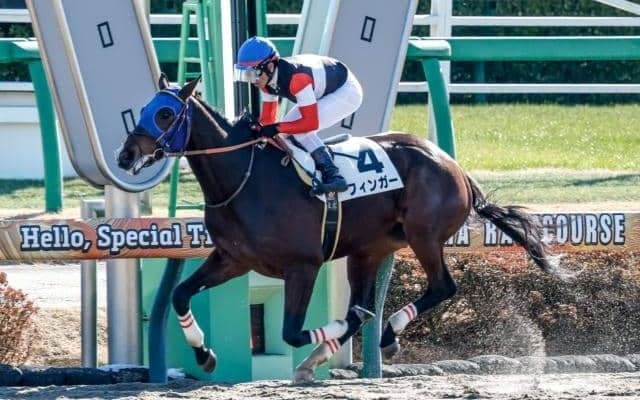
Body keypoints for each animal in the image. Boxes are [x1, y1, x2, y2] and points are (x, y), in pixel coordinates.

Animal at [117, 74, 553, 383]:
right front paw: (204, 354)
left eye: (165, 113)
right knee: (367, 301)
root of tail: (454, 166)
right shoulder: (233, 259)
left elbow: (293, 332)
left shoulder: (303, 266)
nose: (125, 155)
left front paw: (327, 339)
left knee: (440, 287)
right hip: (369, 250)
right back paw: (324, 355)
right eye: (143, 108)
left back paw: (384, 334)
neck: (244, 177)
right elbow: (179, 294)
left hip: (424, 236)